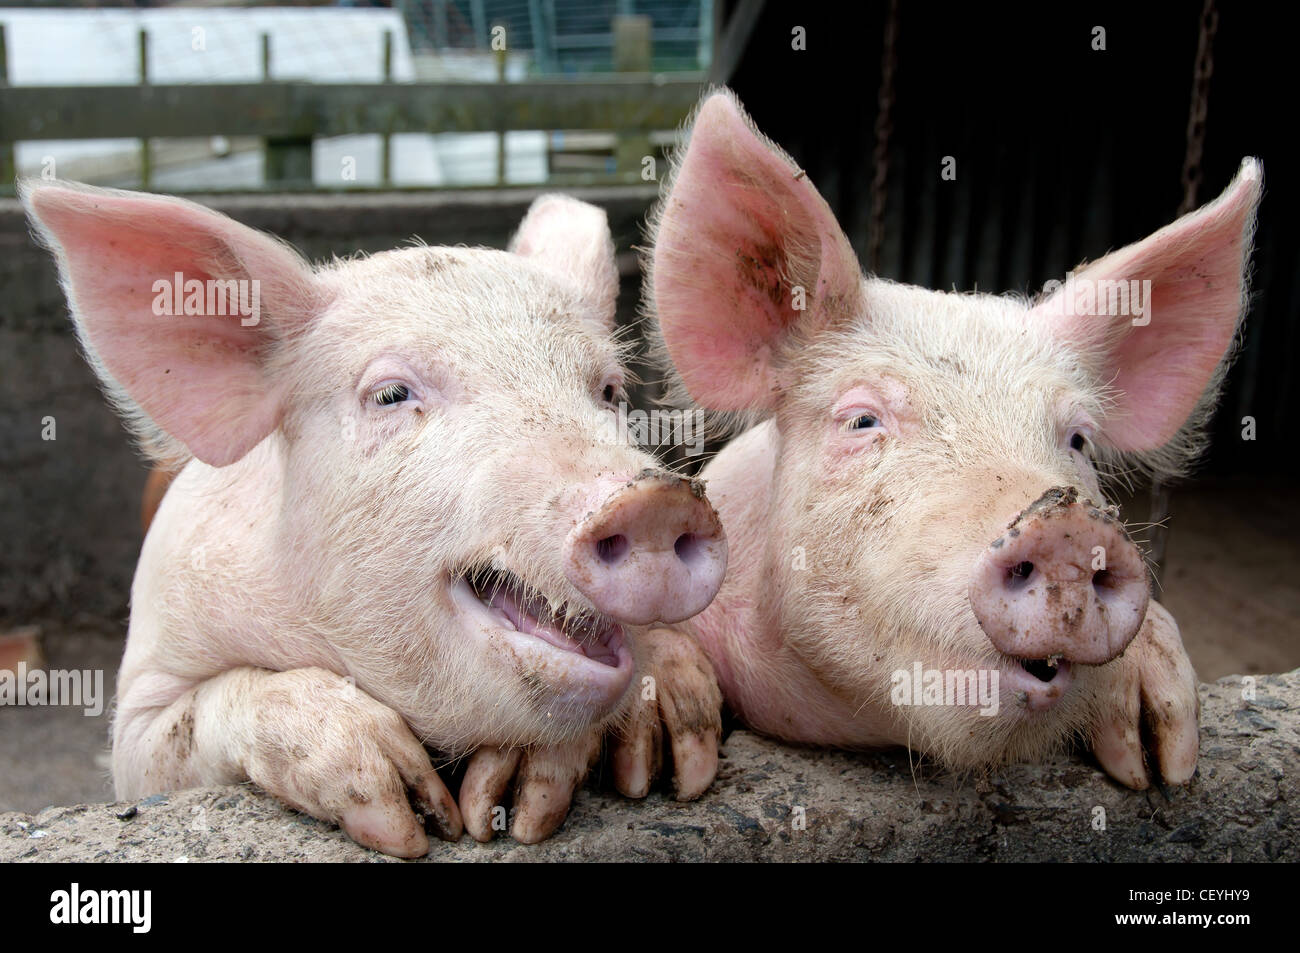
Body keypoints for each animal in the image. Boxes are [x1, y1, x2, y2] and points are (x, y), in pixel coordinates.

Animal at [22, 180, 733, 852]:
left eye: (609, 391)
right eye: (391, 394)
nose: (657, 501)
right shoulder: (145, 693)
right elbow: (182, 726)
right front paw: (410, 818)